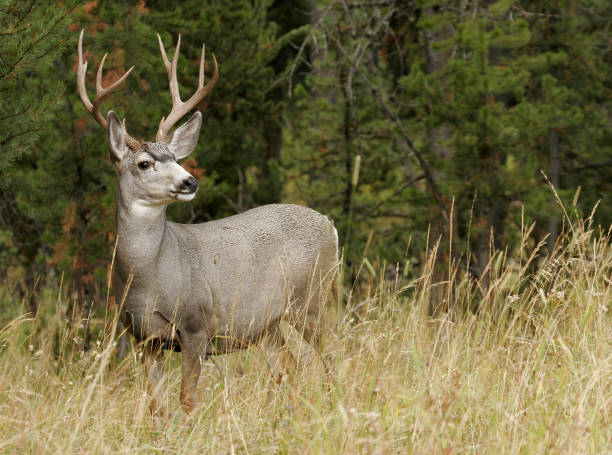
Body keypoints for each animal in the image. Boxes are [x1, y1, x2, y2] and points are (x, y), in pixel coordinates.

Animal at [75, 31, 340, 416]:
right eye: (144, 163)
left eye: (174, 156)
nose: (190, 181)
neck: (148, 276)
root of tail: (330, 225)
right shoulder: (143, 338)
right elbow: (156, 405)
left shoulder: (197, 324)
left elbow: (187, 399)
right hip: (265, 324)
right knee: (287, 365)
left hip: (312, 296)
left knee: (332, 354)